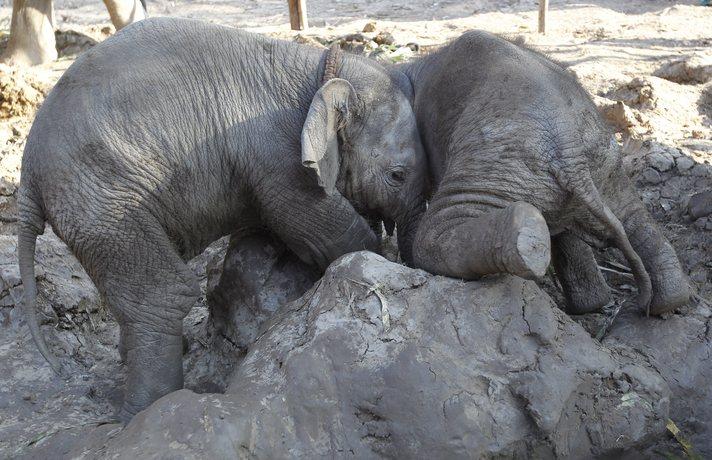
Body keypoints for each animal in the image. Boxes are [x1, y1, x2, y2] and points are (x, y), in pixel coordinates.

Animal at [18, 17, 428, 420]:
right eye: (397, 175)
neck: (320, 70)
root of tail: (27, 176)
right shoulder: (279, 156)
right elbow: (323, 231)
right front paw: (375, 253)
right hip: (106, 201)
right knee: (161, 296)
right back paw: (146, 412)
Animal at [406, 29, 688, 316]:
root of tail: (568, 142)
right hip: (603, 163)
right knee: (632, 217)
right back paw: (659, 303)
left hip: (501, 164)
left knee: (434, 235)